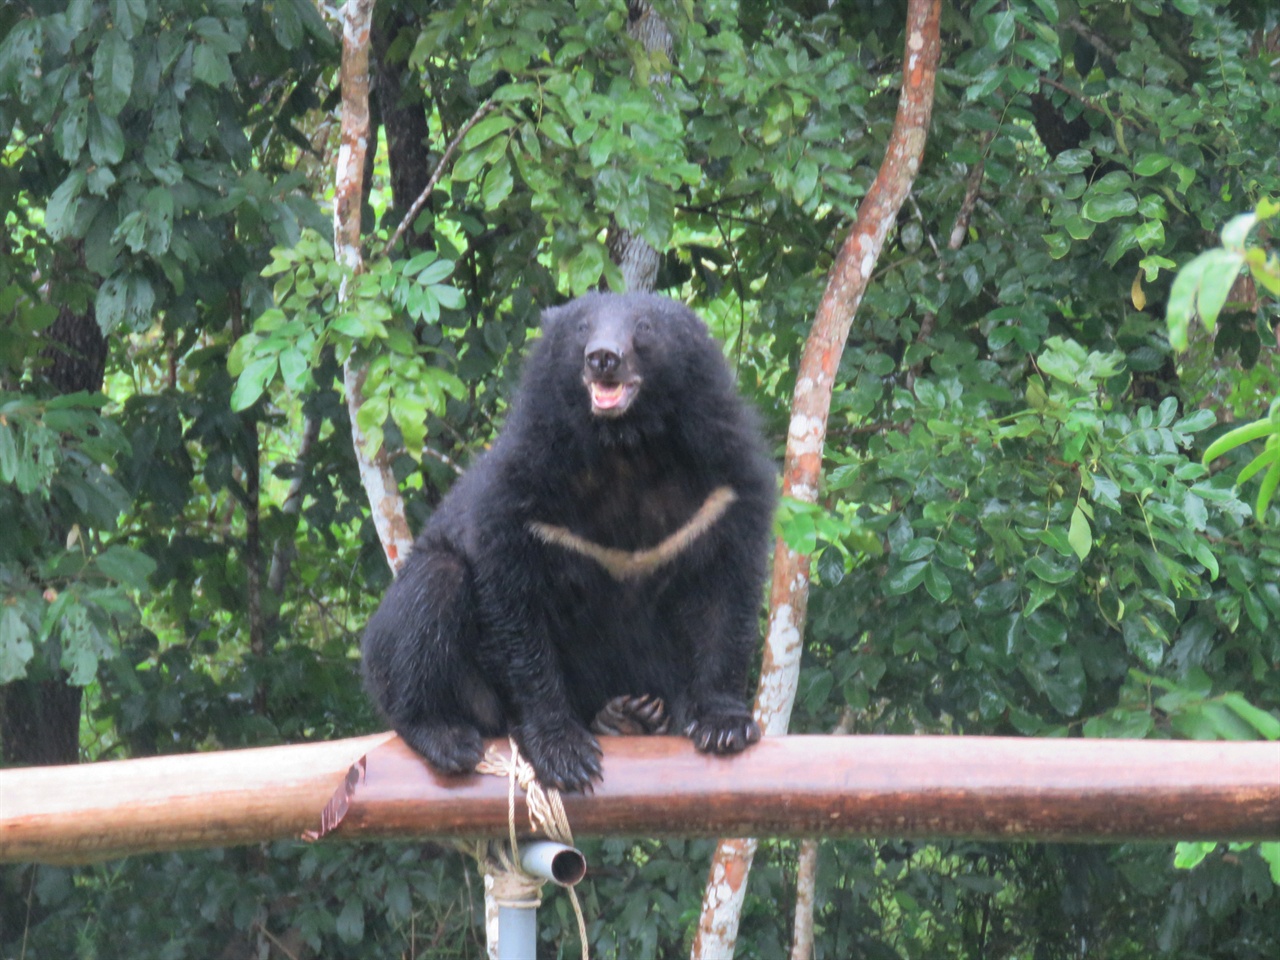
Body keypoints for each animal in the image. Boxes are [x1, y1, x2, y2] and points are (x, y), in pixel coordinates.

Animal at [363, 291, 778, 788]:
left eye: (644, 328)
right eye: (582, 328)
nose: (603, 358)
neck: (626, 447)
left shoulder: (723, 492)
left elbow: (726, 593)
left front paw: (724, 726)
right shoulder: (522, 498)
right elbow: (517, 612)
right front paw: (565, 753)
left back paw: (632, 716)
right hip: (437, 664)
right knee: (433, 590)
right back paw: (446, 735)